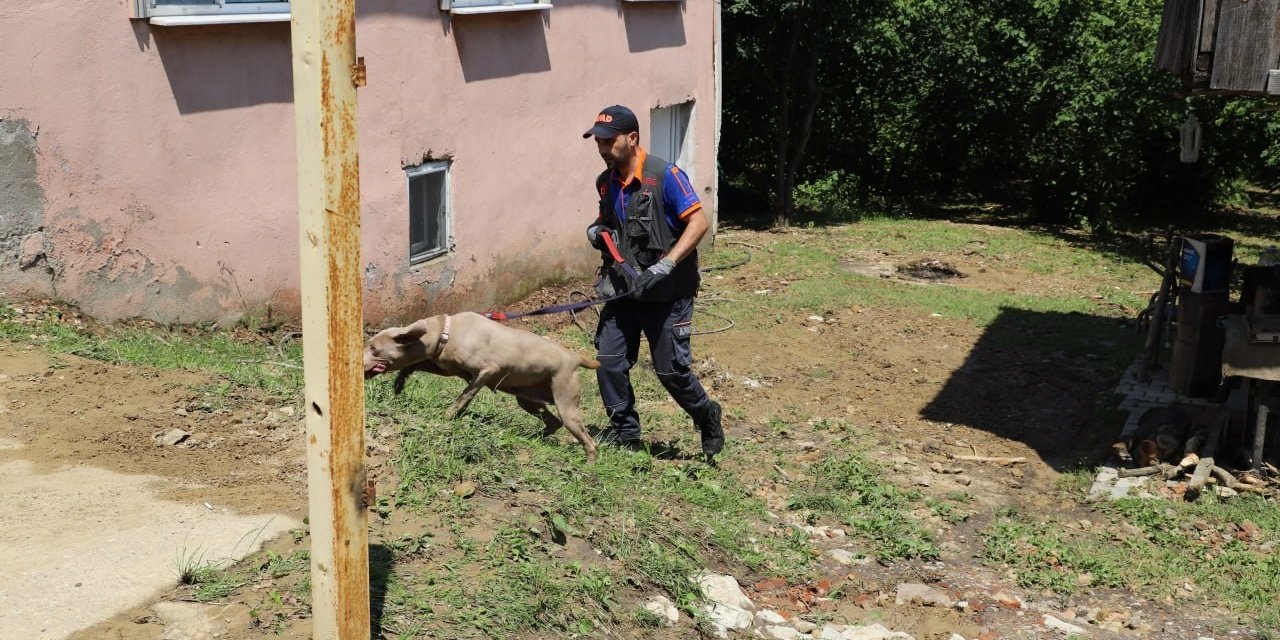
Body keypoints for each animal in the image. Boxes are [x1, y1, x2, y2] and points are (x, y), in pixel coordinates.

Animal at [363, 312, 596, 463]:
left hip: (566, 401)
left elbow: (464, 396)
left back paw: (587, 466)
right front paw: (399, 384)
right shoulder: (446, 366)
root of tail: (575, 357)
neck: (445, 332)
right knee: (553, 422)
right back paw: (531, 438)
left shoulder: (487, 370)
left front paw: (448, 416)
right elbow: (412, 365)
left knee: (589, 441)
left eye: (374, 348)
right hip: (527, 398)